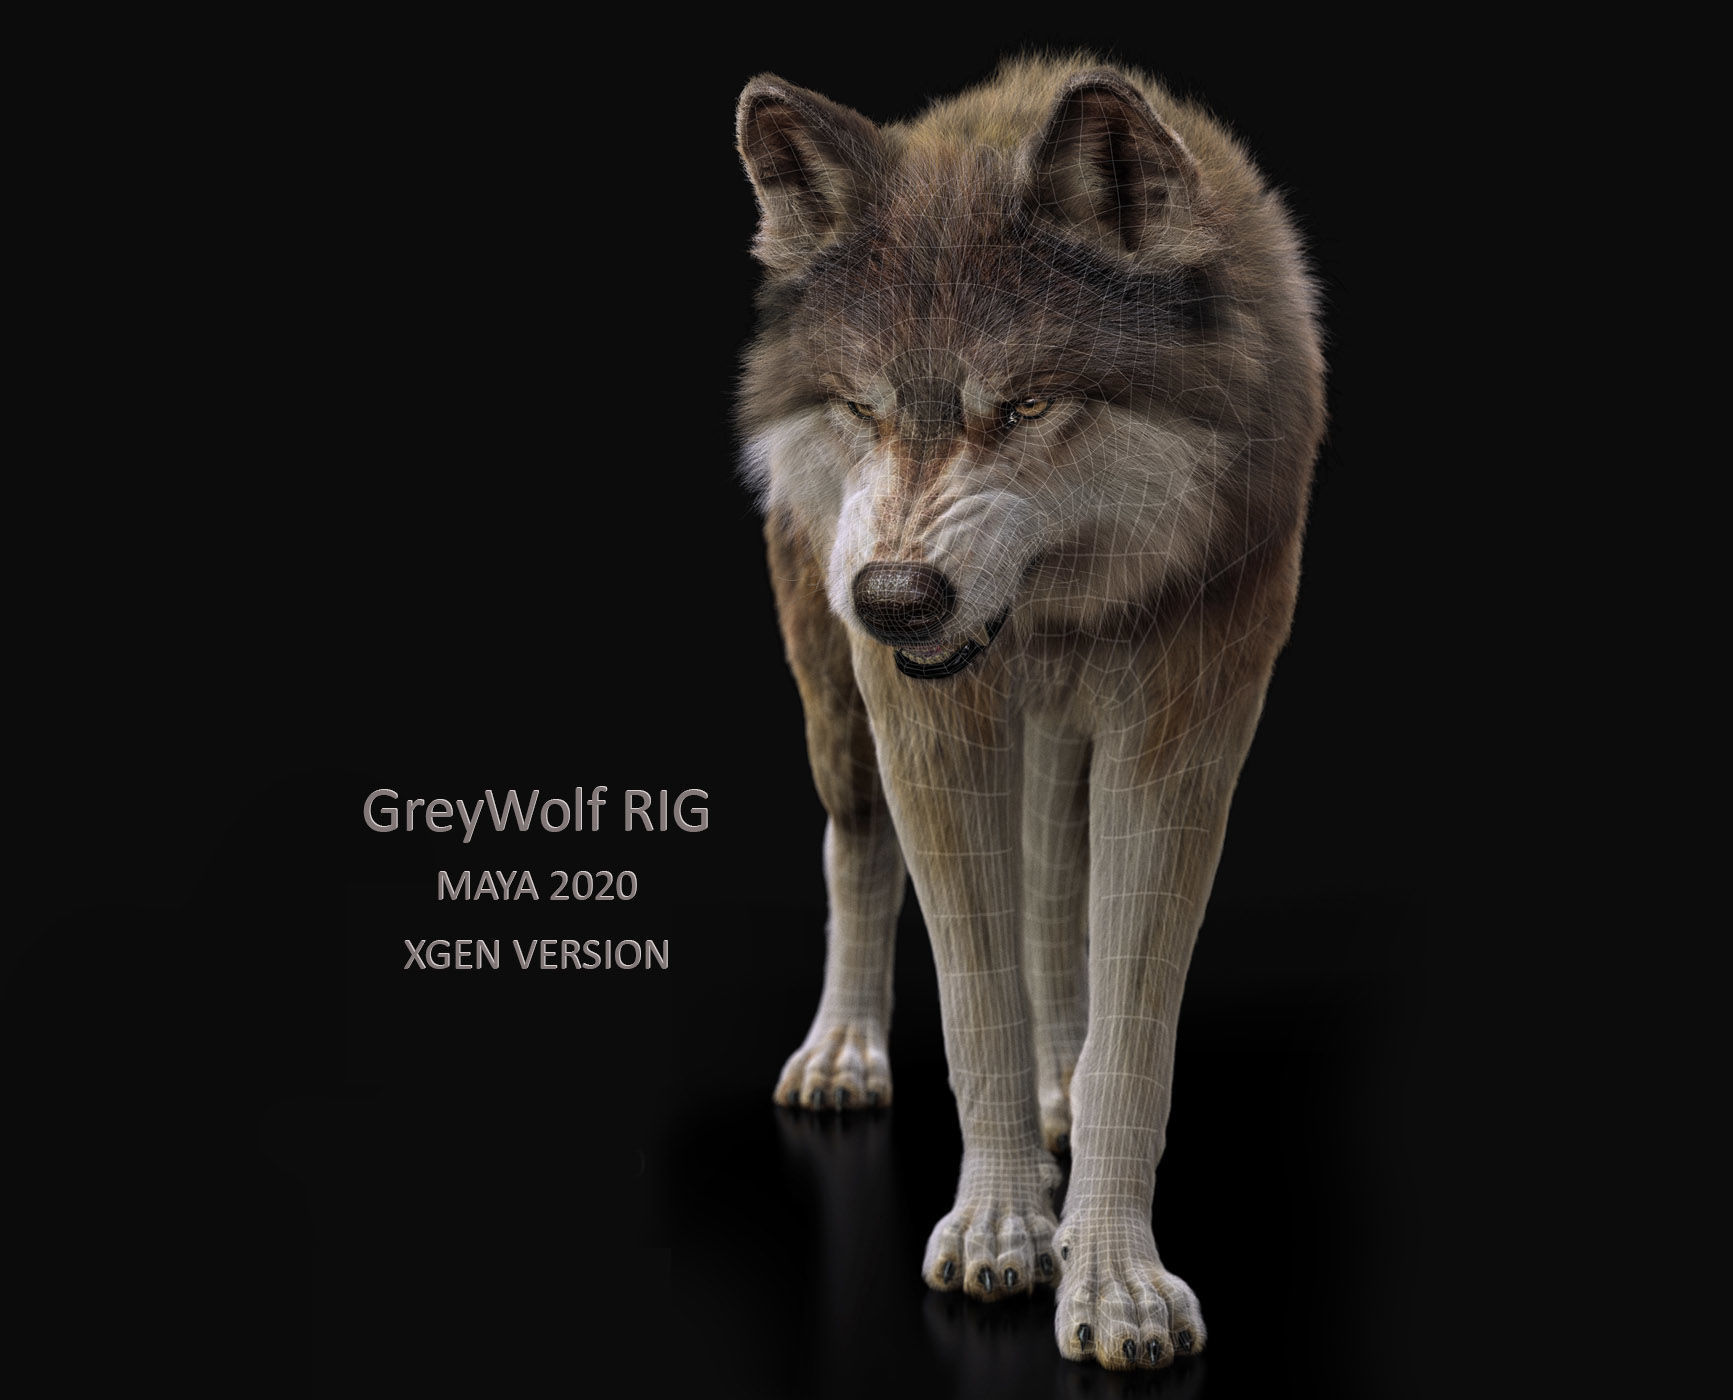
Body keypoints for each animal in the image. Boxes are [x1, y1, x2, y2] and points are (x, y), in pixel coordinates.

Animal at [735, 54, 1325, 1371]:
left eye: (1022, 406)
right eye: (860, 407)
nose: (893, 597)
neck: (1061, 605)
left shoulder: (1189, 719)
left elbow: (1130, 1034)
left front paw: (1113, 1280)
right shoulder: (928, 725)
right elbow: (976, 1002)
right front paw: (1001, 1226)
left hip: (1064, 734)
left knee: (1056, 887)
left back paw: (1061, 1075)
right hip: (835, 697)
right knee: (855, 846)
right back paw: (842, 1051)